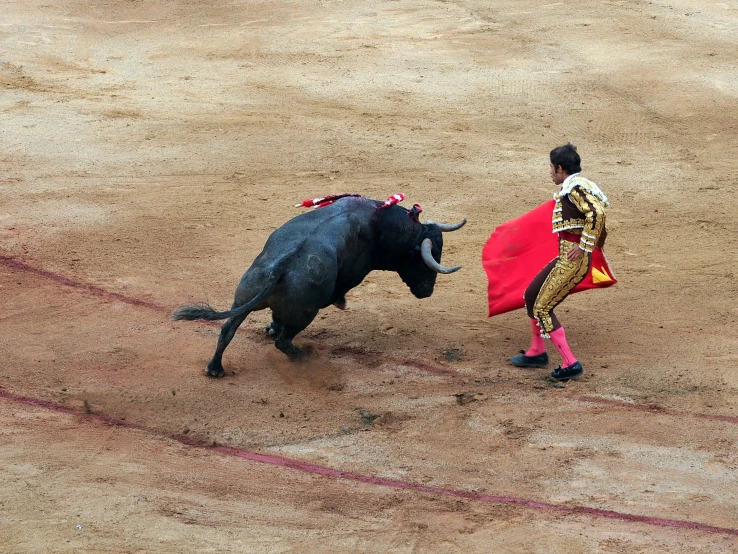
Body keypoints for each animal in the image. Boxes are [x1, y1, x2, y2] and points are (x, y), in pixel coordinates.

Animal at [170, 194, 462, 376]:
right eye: (428, 259)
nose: (427, 292)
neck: (379, 222)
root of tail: (282, 265)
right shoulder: (355, 272)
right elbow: (342, 288)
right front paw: (340, 302)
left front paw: (270, 328)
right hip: (306, 313)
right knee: (284, 342)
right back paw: (303, 356)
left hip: (242, 297)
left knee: (228, 329)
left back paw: (215, 368)